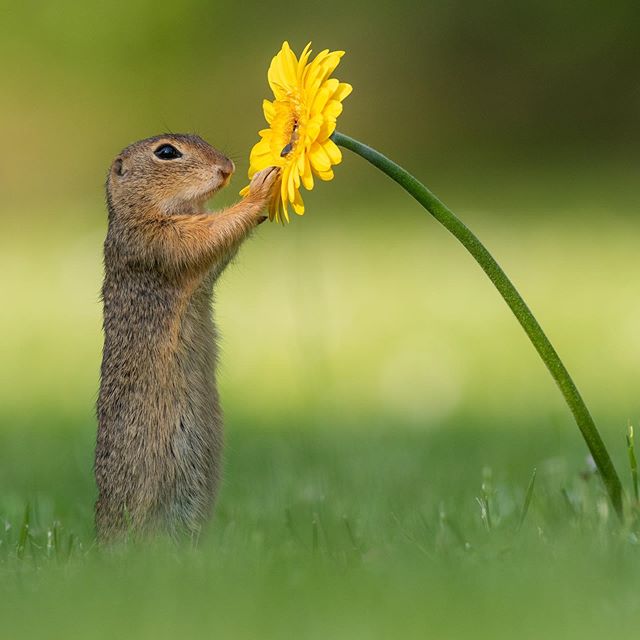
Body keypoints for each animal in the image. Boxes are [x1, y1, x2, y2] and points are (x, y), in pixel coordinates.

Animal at [94, 134, 278, 540]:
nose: (227, 168)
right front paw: (260, 189)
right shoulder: (159, 240)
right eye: (166, 152)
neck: (137, 212)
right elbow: (209, 233)